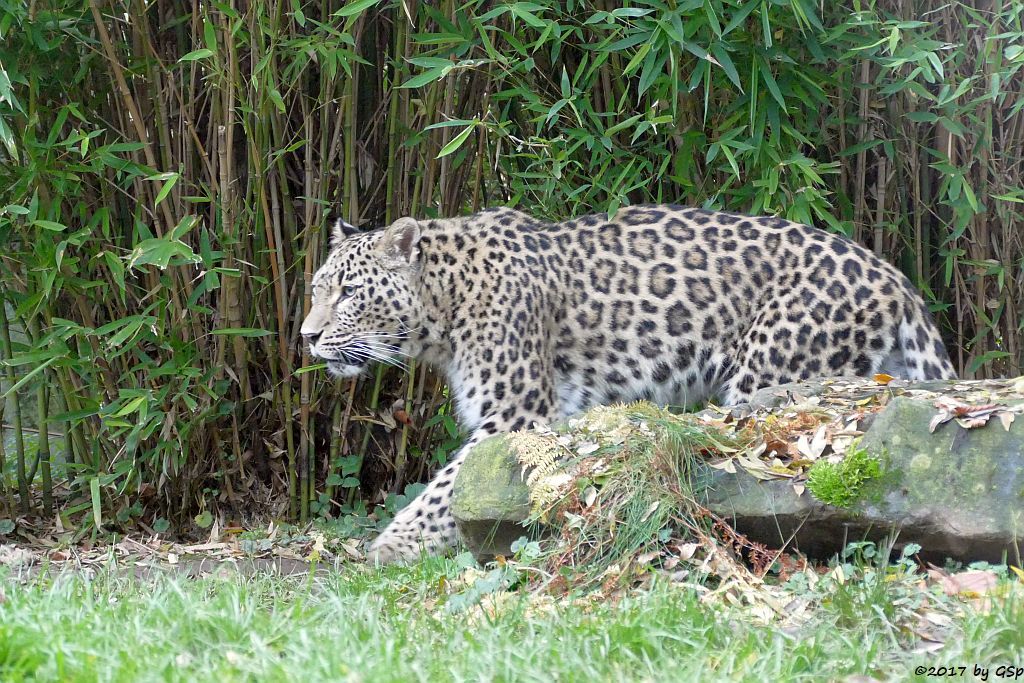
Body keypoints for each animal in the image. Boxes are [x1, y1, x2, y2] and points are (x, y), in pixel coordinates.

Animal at [299, 204, 954, 565]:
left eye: (350, 293)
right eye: (316, 290)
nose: (306, 336)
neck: (443, 305)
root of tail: (895, 277)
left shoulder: (515, 415)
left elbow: (445, 489)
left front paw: (390, 547)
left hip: (767, 376)